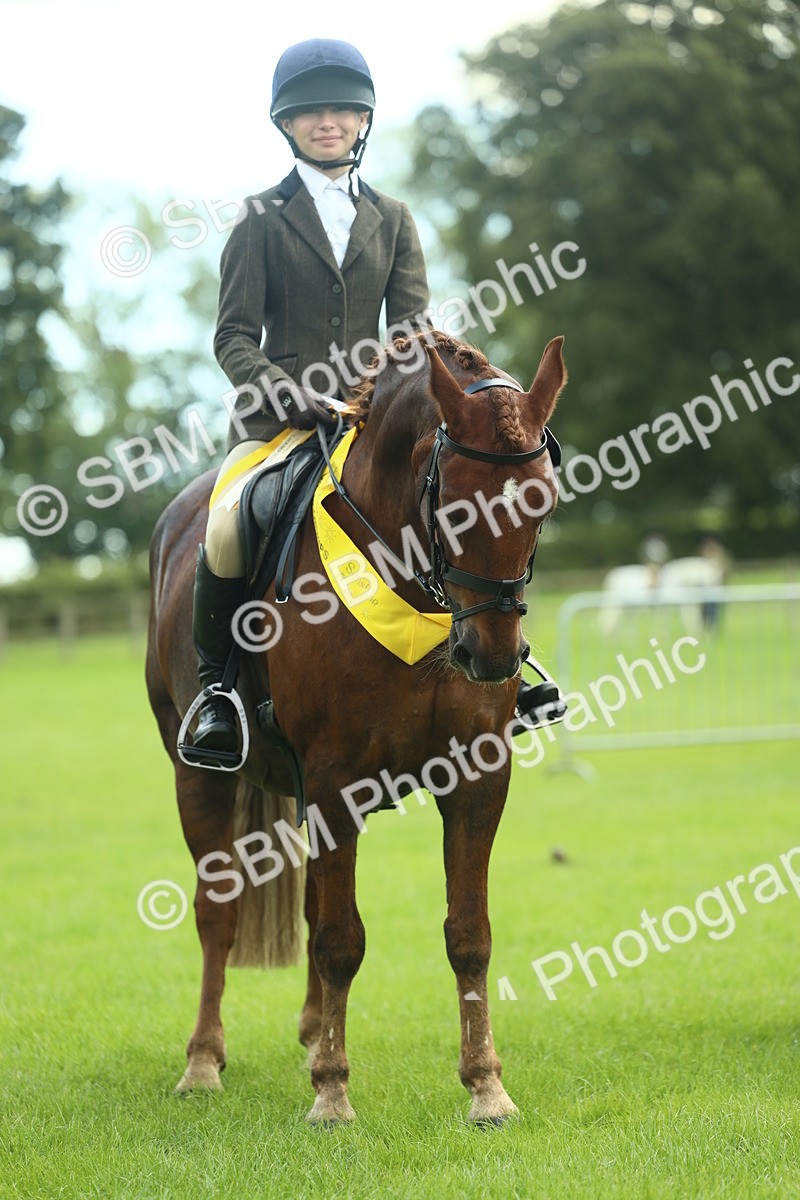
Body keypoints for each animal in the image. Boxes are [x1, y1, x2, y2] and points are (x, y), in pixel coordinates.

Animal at [145, 329, 566, 1124]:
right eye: (454, 505)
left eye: (544, 503)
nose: (492, 657)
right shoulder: (335, 780)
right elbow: (342, 939)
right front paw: (334, 1096)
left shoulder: (476, 776)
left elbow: (468, 934)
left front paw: (486, 1087)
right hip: (198, 776)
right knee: (219, 913)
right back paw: (203, 1062)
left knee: (311, 903)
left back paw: (314, 1036)